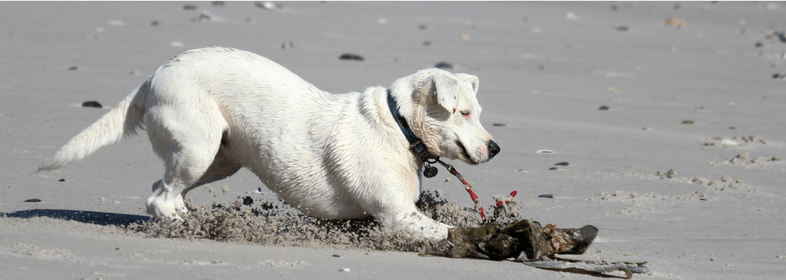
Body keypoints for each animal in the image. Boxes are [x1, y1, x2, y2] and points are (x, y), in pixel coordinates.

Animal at [38, 47, 496, 240]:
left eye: (477, 111)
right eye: (463, 113)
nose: (496, 149)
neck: (398, 125)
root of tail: (152, 78)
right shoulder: (398, 216)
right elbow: (451, 231)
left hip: (218, 159)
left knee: (162, 191)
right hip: (199, 147)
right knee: (160, 198)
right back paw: (195, 228)